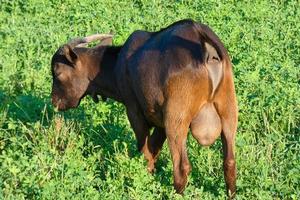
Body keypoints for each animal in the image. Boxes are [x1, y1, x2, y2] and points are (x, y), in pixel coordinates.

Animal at [51, 19, 237, 198]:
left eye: (57, 72)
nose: (54, 101)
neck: (117, 64)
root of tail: (203, 43)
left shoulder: (134, 112)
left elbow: (145, 151)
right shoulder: (160, 121)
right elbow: (154, 150)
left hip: (176, 119)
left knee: (181, 166)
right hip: (228, 112)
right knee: (229, 161)